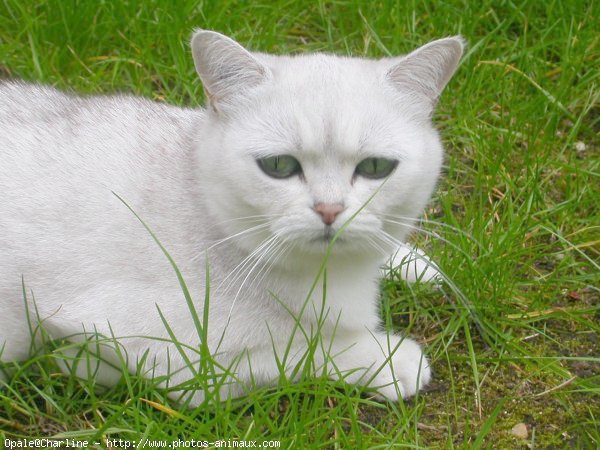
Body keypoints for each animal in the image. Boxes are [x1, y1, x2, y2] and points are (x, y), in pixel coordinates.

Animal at [0, 30, 464, 404]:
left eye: (375, 168)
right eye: (278, 166)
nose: (329, 209)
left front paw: (414, 264)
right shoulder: (179, 359)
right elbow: (302, 349)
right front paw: (389, 359)